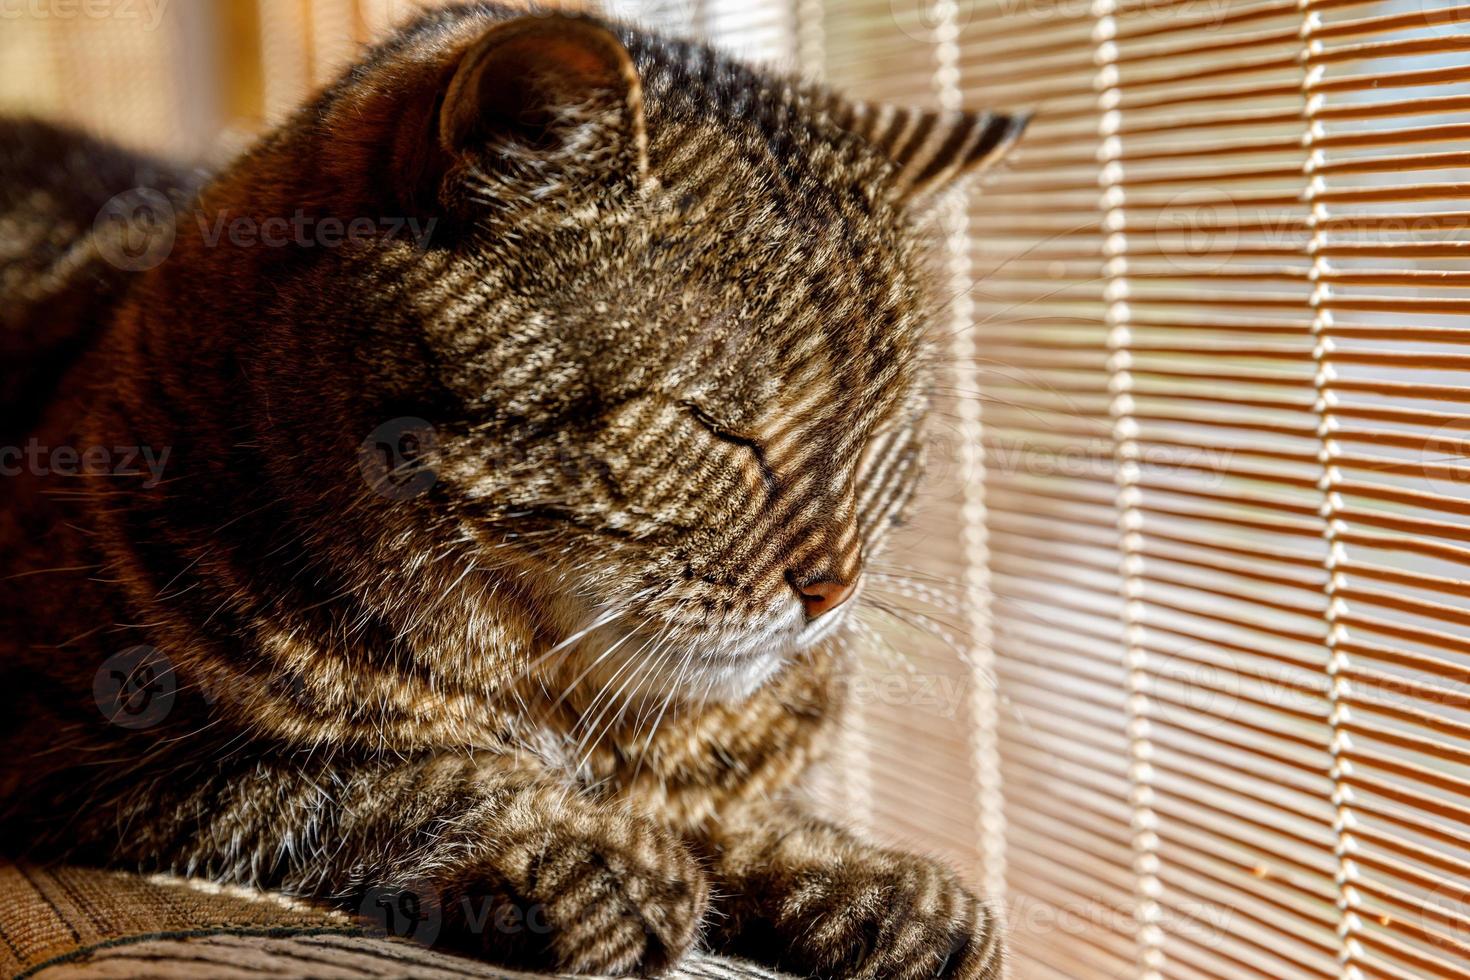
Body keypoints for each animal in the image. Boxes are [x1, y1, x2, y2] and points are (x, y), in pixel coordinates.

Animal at [0, 3, 1029, 975]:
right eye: (713, 426)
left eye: (880, 443)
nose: (833, 590)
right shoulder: (95, 751)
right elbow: (389, 776)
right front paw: (579, 851)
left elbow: (744, 813)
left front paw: (865, 875)